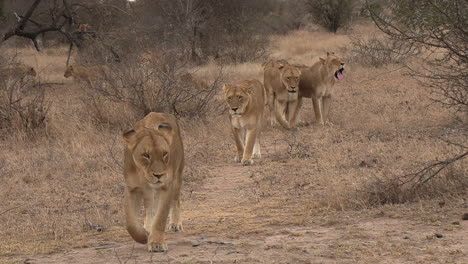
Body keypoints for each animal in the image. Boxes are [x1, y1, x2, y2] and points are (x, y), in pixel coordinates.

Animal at [122, 112, 185, 253]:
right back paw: (148, 226)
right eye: (146, 155)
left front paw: (156, 243)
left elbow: (161, 217)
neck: (143, 174)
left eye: (165, 154)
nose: (159, 175)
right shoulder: (132, 188)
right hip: (148, 191)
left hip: (177, 175)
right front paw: (144, 236)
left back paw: (175, 224)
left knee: (176, 200)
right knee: (150, 208)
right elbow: (130, 223)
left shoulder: (166, 186)